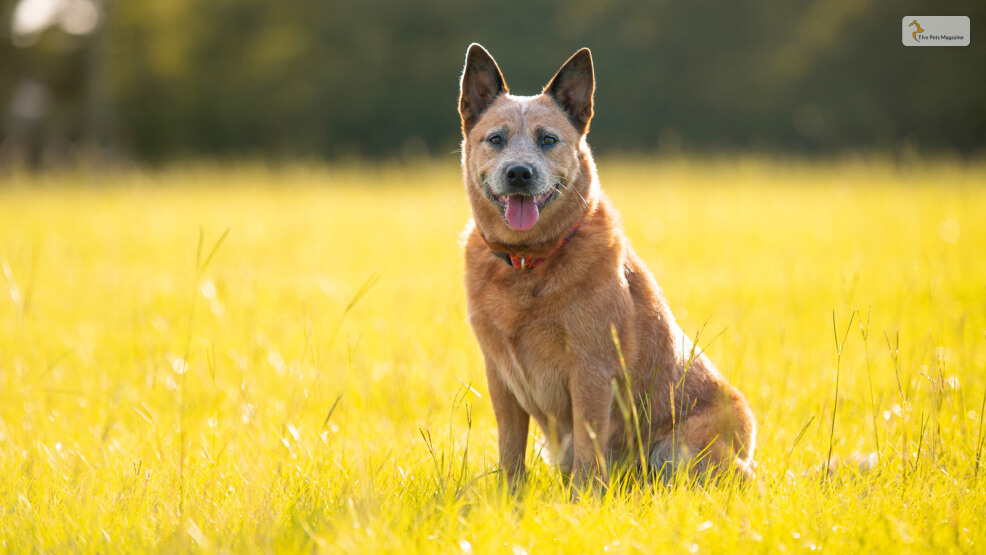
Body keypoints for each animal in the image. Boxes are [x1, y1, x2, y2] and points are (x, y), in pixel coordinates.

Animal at [456, 43, 752, 488]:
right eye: (496, 139)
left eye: (548, 139)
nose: (519, 173)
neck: (528, 263)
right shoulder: (500, 377)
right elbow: (510, 451)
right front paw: (509, 498)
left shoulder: (591, 371)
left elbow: (588, 449)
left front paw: (582, 500)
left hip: (683, 451)